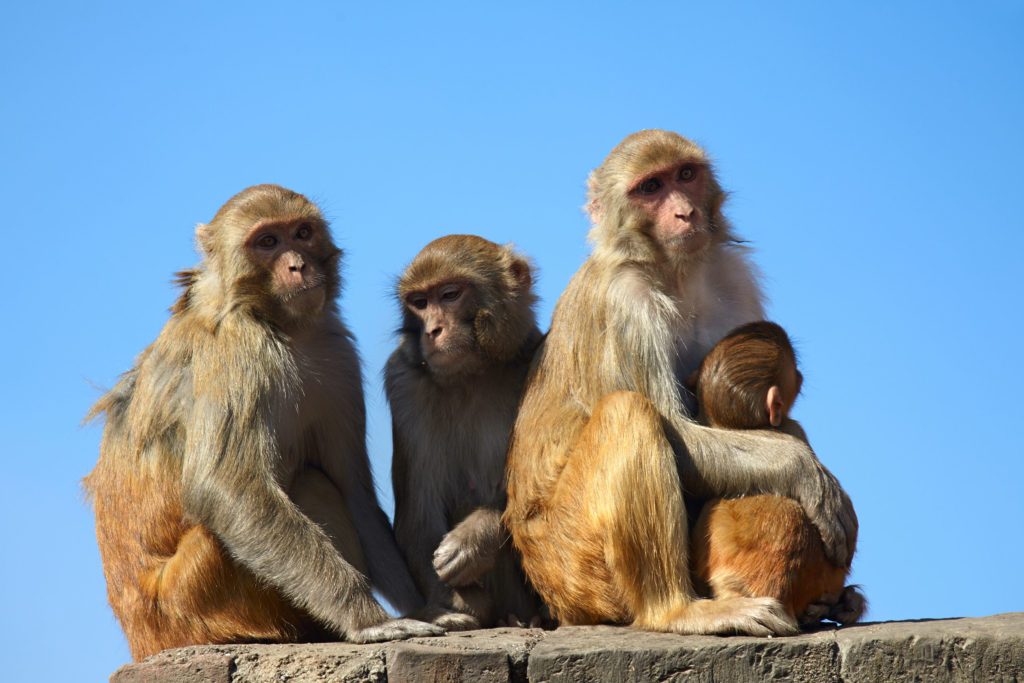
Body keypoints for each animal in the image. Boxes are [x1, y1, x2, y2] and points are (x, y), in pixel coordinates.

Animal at [81, 184, 442, 659]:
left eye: (303, 233)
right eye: (267, 241)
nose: (297, 265)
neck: (280, 324)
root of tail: (141, 638)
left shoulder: (337, 354)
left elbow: (356, 493)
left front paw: (428, 607)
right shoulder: (240, 349)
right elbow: (225, 486)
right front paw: (368, 619)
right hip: (195, 596)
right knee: (303, 484)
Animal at [385, 235, 544, 630]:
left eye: (450, 294)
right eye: (420, 303)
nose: (432, 330)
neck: (472, 374)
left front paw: (475, 541)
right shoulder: (404, 381)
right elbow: (419, 516)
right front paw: (459, 605)